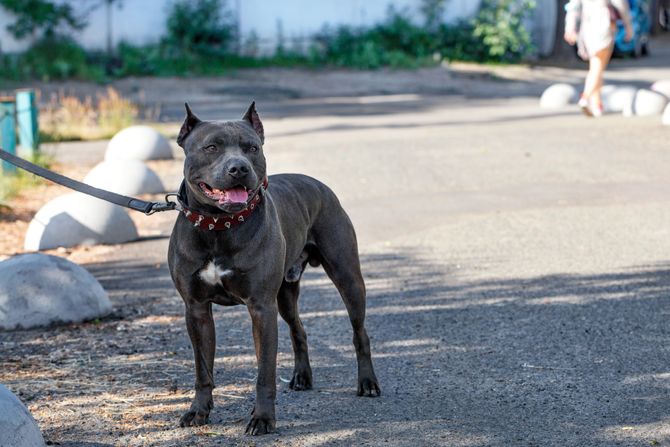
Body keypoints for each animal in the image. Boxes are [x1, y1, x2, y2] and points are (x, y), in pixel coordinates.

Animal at [167, 103, 380, 436]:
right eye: (211, 147)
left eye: (252, 148)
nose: (239, 168)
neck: (218, 226)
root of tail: (318, 184)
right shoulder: (197, 309)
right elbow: (203, 370)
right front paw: (198, 411)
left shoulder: (261, 308)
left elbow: (264, 372)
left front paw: (263, 418)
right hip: (286, 295)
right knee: (298, 329)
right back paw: (302, 377)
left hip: (348, 278)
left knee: (360, 333)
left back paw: (368, 382)